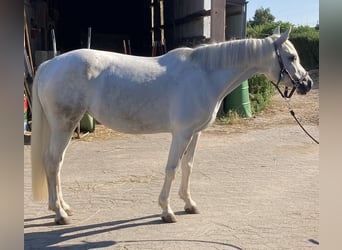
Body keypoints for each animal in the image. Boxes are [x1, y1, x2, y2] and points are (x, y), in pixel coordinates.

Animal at [31, 27, 312, 225]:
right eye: (291, 57)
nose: (307, 84)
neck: (204, 75)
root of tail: (49, 64)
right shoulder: (181, 133)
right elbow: (172, 168)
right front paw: (166, 210)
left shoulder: (195, 134)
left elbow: (187, 167)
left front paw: (189, 204)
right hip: (64, 125)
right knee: (52, 162)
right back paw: (59, 214)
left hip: (65, 127)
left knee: (57, 164)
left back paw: (64, 207)